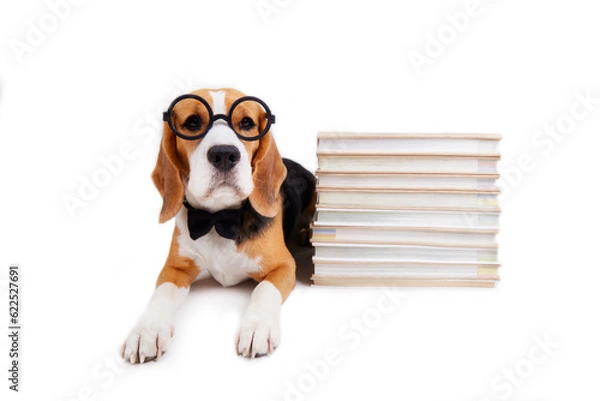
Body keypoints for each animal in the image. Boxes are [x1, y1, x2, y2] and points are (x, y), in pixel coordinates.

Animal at [123, 88, 316, 362]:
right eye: (193, 122)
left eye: (246, 123)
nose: (224, 154)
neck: (218, 219)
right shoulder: (175, 268)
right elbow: (162, 292)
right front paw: (147, 330)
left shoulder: (284, 266)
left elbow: (264, 290)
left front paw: (257, 327)